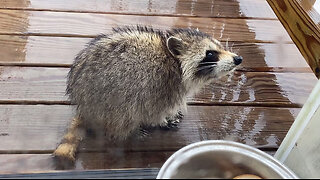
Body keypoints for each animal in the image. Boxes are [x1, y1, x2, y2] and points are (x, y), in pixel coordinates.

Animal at [53, 25, 242, 160]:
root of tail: (83, 106)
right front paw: (163, 120)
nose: (238, 59)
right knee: (123, 117)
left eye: (220, 47)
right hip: (110, 100)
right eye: (210, 53)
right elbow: (153, 111)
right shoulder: (159, 86)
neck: (175, 63)